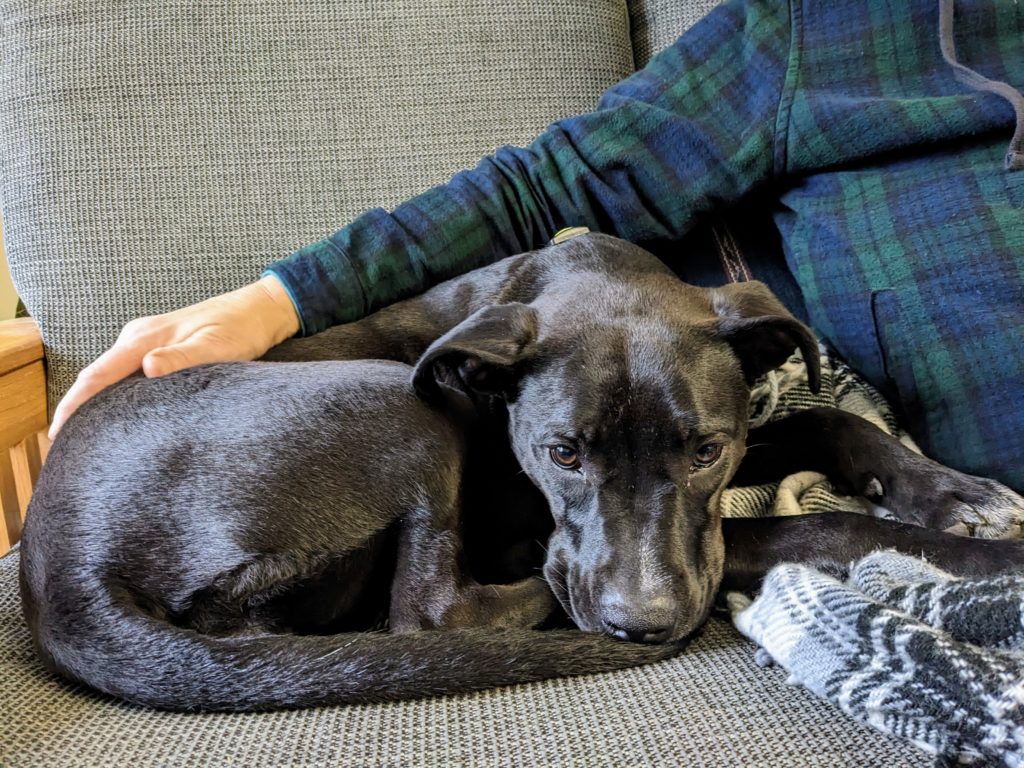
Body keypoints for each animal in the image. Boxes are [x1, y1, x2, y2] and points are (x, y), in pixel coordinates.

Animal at [18, 233, 1024, 708]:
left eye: (708, 452)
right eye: (560, 453)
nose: (639, 624)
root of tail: (58, 572)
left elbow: (821, 417)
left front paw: (951, 493)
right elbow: (812, 521)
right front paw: (985, 561)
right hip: (398, 405)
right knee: (430, 612)